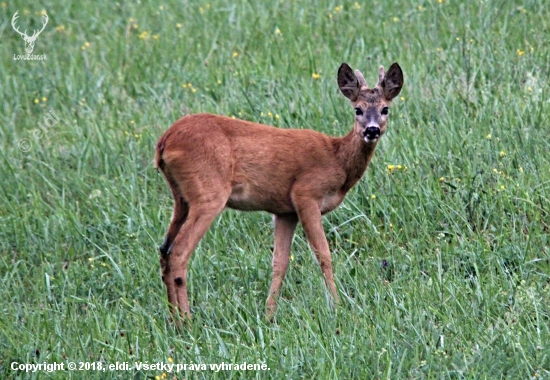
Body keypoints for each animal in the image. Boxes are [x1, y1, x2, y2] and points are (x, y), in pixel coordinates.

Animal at [155, 61, 406, 320]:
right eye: (357, 109)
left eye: (385, 109)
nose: (372, 130)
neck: (337, 159)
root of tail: (164, 143)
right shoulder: (305, 194)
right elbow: (323, 255)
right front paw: (337, 306)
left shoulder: (285, 212)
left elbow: (280, 262)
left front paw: (269, 315)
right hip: (209, 193)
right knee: (179, 251)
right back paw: (187, 320)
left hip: (182, 198)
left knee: (164, 250)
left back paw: (174, 319)